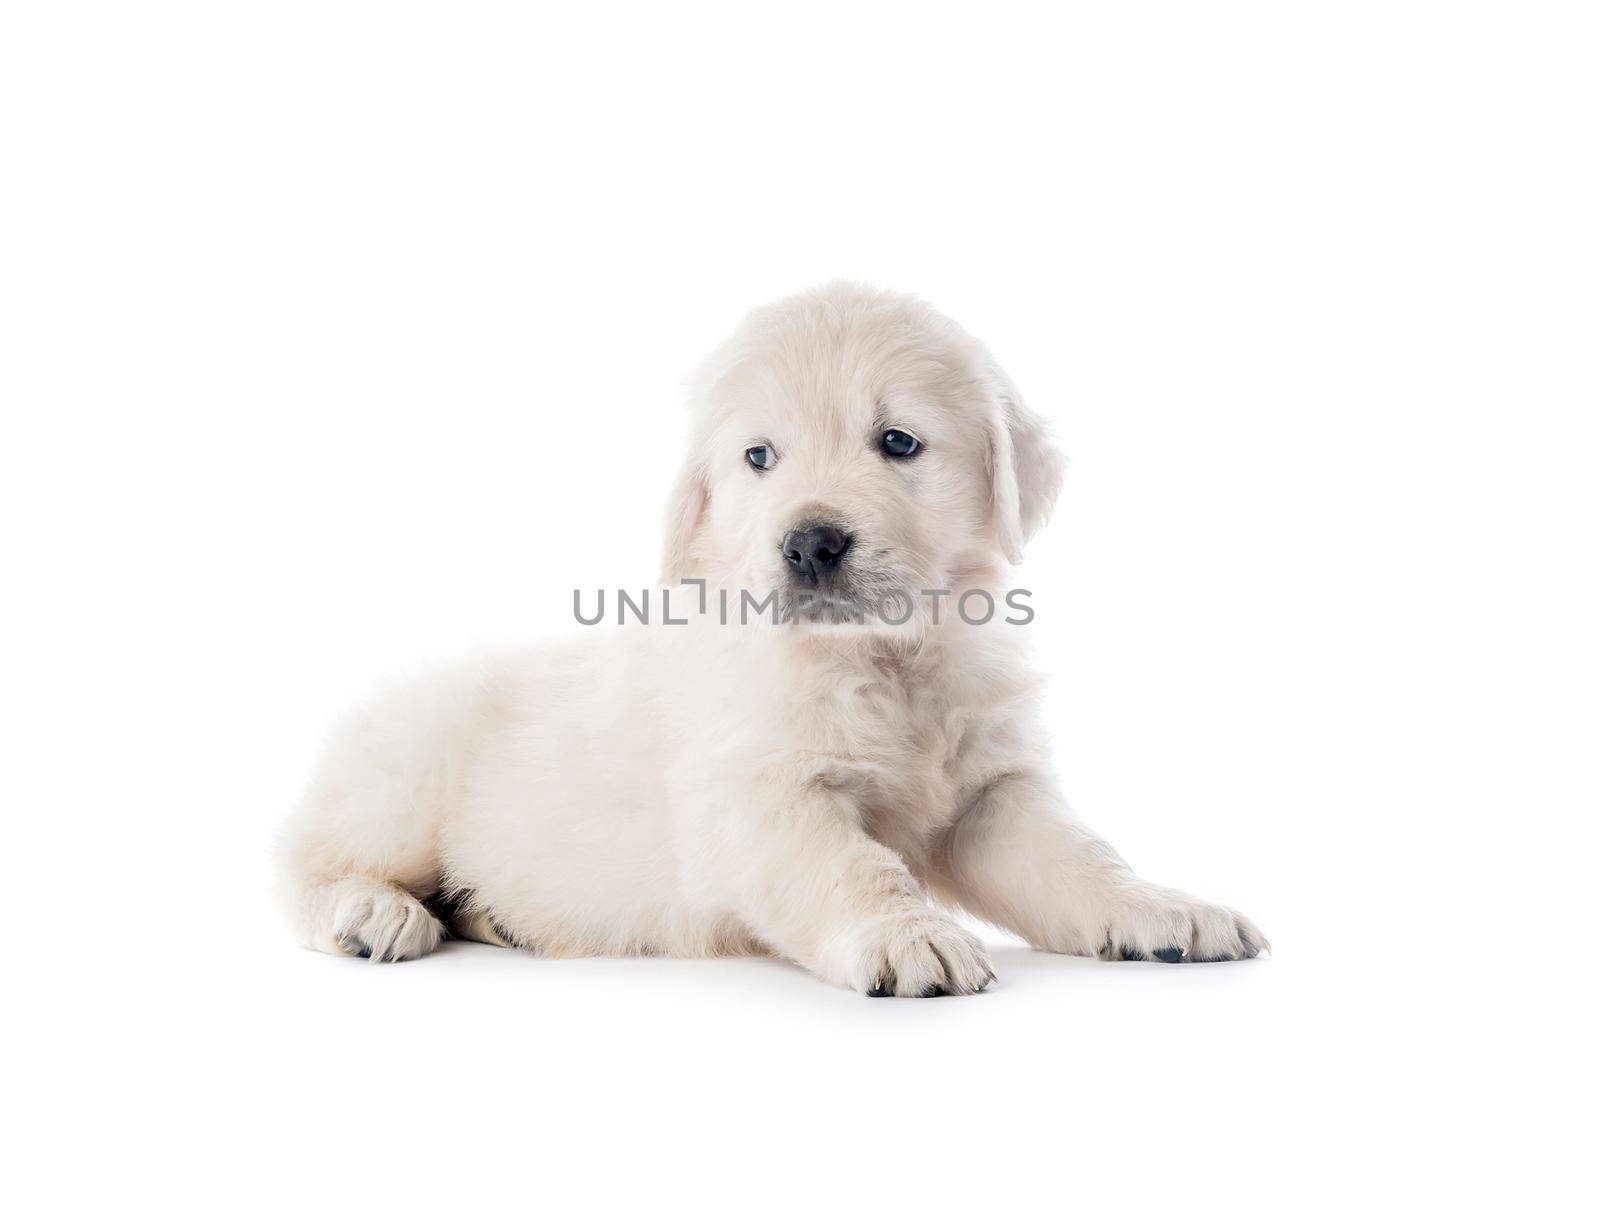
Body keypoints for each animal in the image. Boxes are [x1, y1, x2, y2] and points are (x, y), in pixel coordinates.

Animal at [278, 281, 1273, 998]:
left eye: (898, 441)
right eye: (759, 457)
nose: (810, 543)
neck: (885, 658)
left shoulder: (992, 796)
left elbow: (1079, 855)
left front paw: (1165, 910)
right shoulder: (752, 793)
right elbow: (850, 863)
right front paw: (909, 936)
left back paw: (495, 916)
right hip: (402, 773)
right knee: (306, 862)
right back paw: (374, 912)